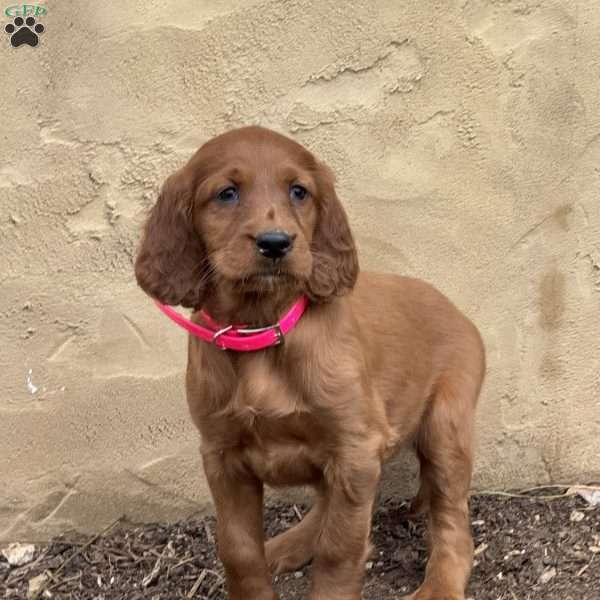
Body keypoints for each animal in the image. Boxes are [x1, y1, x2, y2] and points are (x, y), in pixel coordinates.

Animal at [134, 126, 486, 600]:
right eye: (227, 193)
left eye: (299, 191)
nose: (276, 242)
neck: (261, 326)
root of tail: (456, 309)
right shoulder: (221, 455)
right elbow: (238, 549)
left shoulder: (355, 446)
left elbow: (339, 549)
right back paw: (289, 544)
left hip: (445, 427)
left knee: (452, 524)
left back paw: (439, 587)